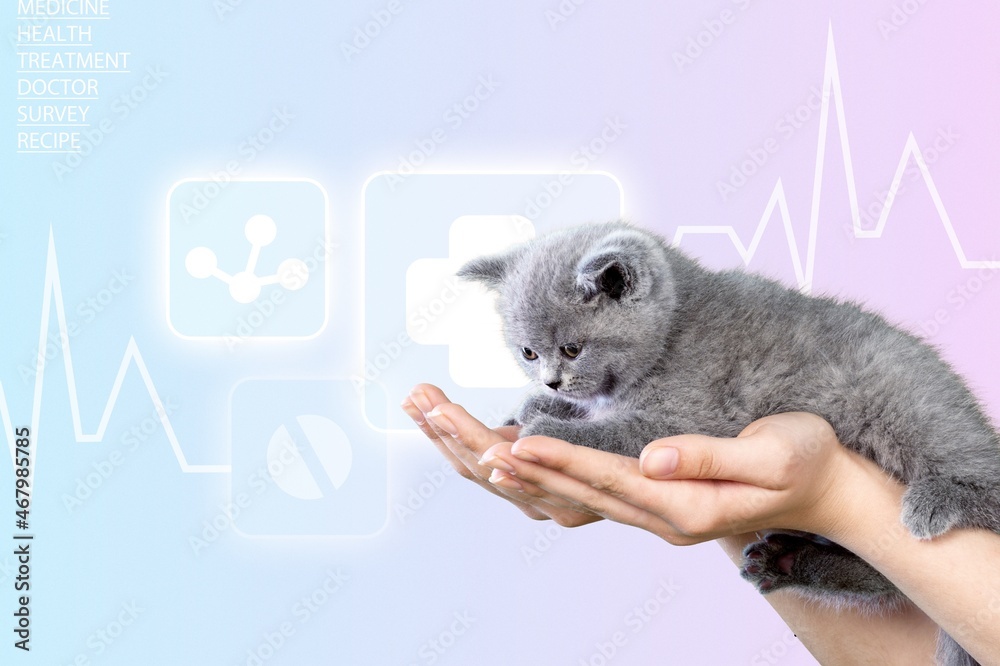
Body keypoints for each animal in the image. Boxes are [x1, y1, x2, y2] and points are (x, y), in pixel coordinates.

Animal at [458, 219, 1000, 664]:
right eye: (528, 353)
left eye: (572, 348)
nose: (551, 382)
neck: (673, 331)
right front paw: (534, 407)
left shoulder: (692, 418)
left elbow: (620, 430)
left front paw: (550, 428)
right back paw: (791, 562)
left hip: (905, 405)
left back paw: (936, 500)